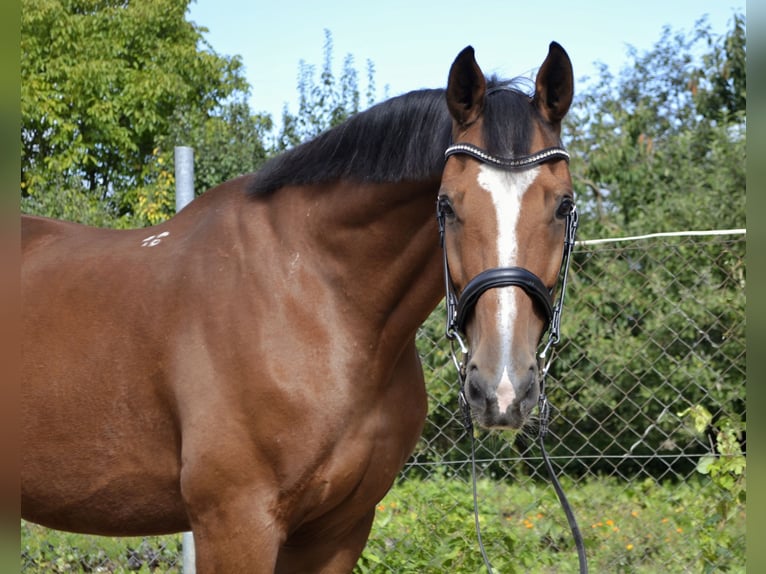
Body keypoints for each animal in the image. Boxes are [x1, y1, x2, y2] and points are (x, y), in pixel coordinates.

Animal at [21, 43, 574, 572]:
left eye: (565, 205)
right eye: (447, 205)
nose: (502, 388)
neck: (317, 301)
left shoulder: (339, 529)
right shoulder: (235, 523)